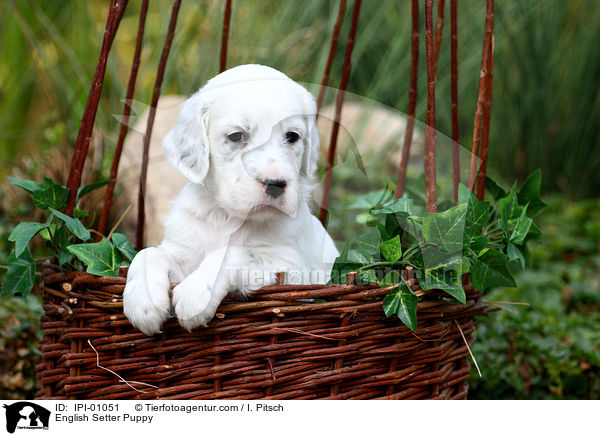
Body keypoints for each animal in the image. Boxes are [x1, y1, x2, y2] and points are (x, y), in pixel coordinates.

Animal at [123, 64, 338, 336]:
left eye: (292, 136)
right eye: (236, 136)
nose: (276, 184)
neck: (226, 216)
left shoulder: (293, 270)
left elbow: (233, 253)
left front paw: (195, 296)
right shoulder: (182, 253)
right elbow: (148, 253)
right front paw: (143, 302)